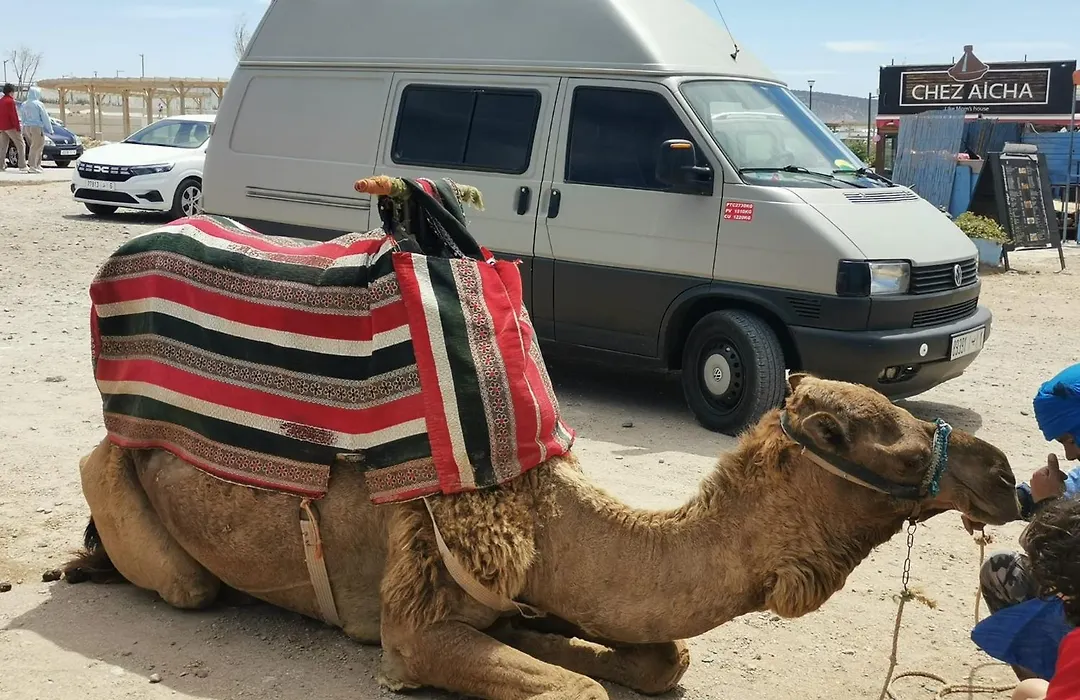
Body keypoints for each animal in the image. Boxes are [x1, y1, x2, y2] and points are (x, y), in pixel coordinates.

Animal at [61, 373, 1021, 699]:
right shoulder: (415, 620)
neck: (555, 520)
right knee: (185, 582)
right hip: (118, 482)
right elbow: (581, 688)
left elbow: (658, 657)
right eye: (900, 445)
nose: (1006, 475)